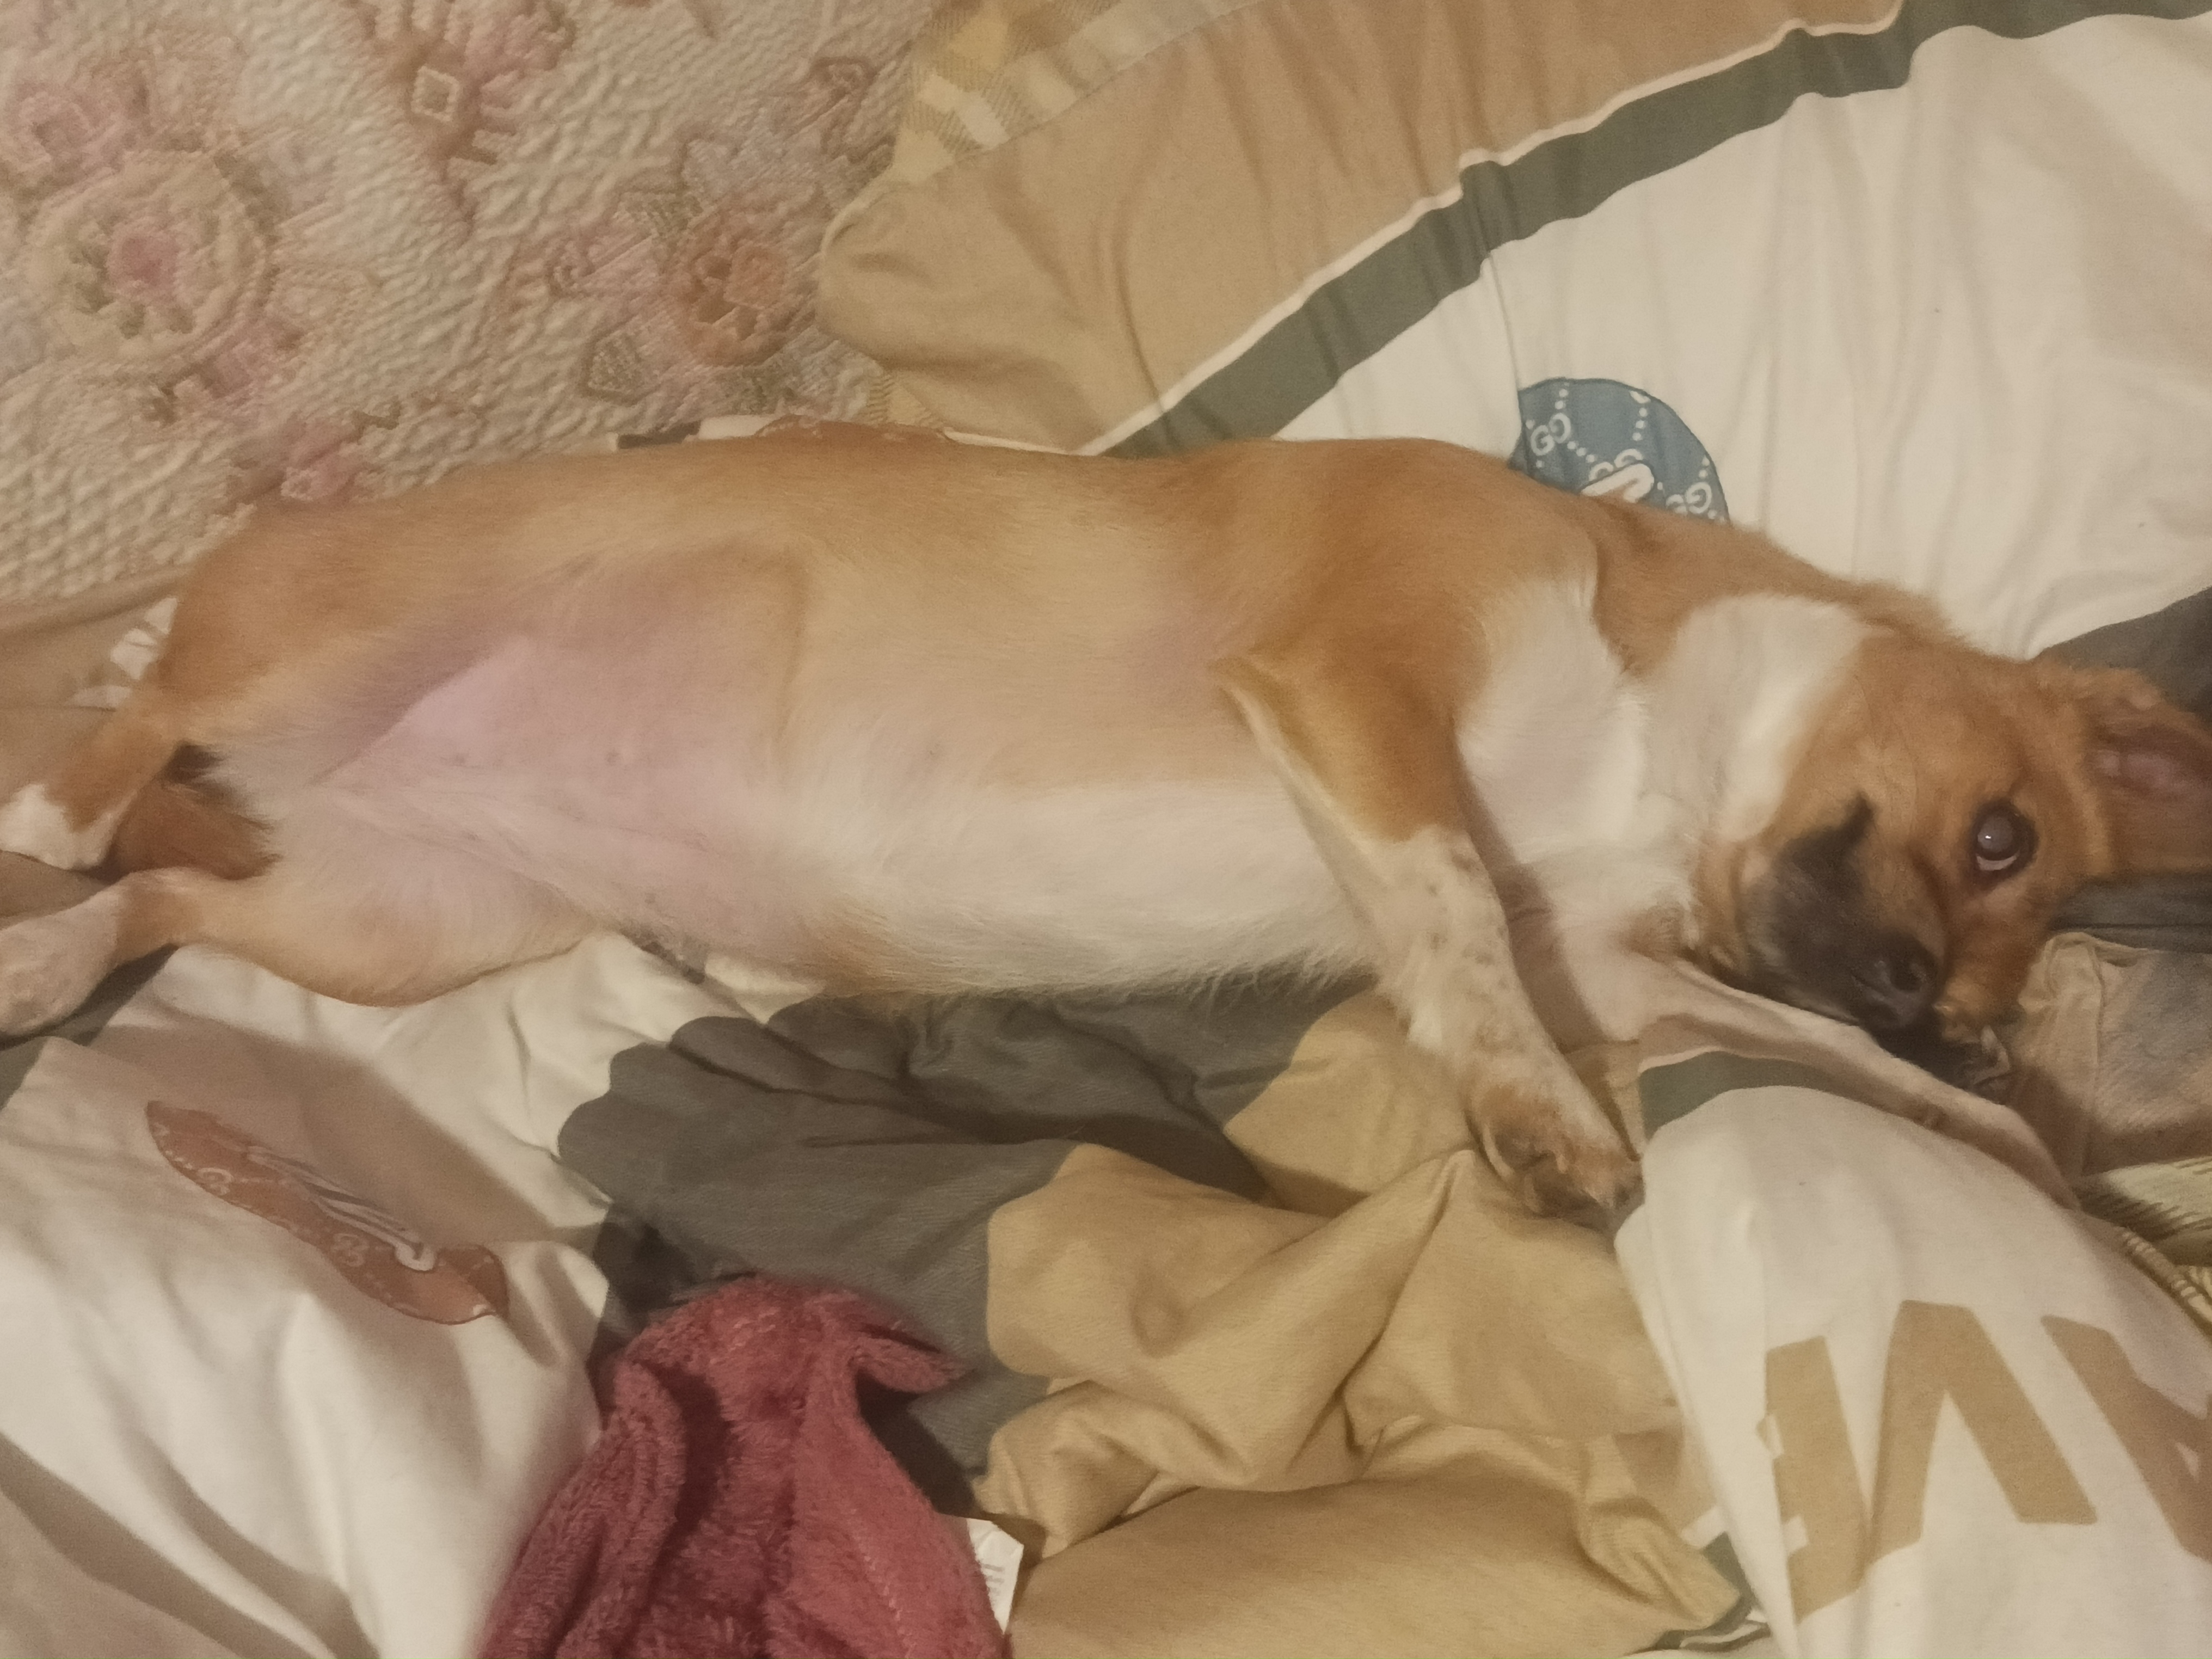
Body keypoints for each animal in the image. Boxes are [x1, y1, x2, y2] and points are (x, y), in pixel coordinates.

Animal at [1, 429, 2205, 1212]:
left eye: (2000, 963)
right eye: (2000, 836)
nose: (1935, 1002)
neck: (1656, 753)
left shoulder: (1614, 957)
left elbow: (1785, 1041)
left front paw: (2025, 1144)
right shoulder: (1354, 689)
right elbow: (1442, 902)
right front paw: (1534, 1114)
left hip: (399, 923)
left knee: (170, 905)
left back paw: (44, 950)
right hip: (312, 664)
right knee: (155, 707)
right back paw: (57, 792)